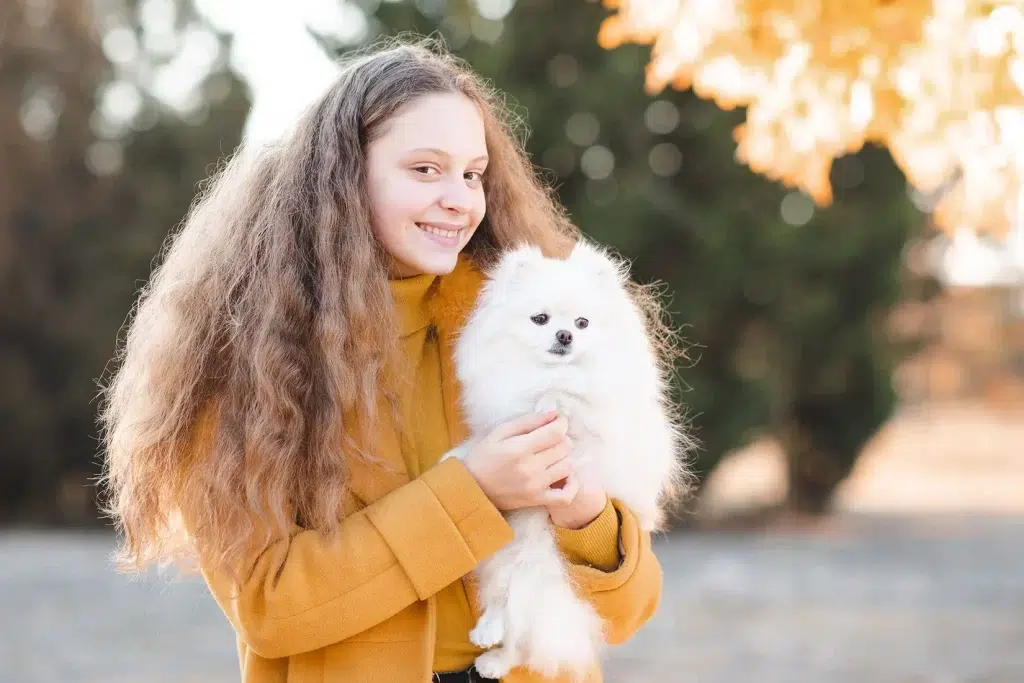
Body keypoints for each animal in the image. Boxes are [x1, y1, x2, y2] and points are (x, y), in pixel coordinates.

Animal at [440, 242, 688, 679]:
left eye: (582, 322)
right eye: (540, 318)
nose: (565, 335)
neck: (546, 373)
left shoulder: (598, 415)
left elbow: (573, 407)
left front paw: (557, 405)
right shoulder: (504, 413)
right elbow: (485, 436)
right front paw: (459, 456)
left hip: (536, 558)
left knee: (522, 621)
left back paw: (495, 657)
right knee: (506, 595)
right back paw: (489, 634)